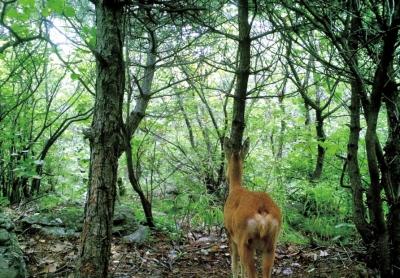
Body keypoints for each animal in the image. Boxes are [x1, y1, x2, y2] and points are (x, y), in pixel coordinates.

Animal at [223, 137, 282, 278]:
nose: (225, 175)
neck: (235, 188)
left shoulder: (230, 234)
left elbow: (234, 263)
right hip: (271, 244)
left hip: (245, 241)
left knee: (251, 271)